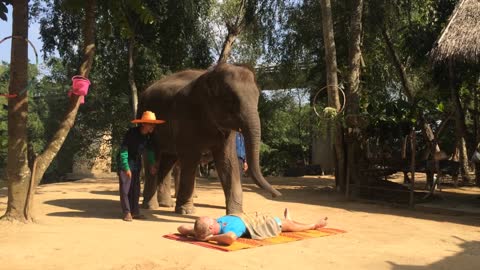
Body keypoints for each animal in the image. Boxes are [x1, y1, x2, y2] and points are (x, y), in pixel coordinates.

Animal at [137, 62, 282, 214]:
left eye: (257, 98)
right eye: (230, 101)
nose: (277, 195)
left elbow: (227, 159)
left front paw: (236, 213)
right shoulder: (185, 115)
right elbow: (190, 158)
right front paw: (186, 211)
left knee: (168, 161)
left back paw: (166, 204)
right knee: (153, 160)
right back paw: (151, 206)